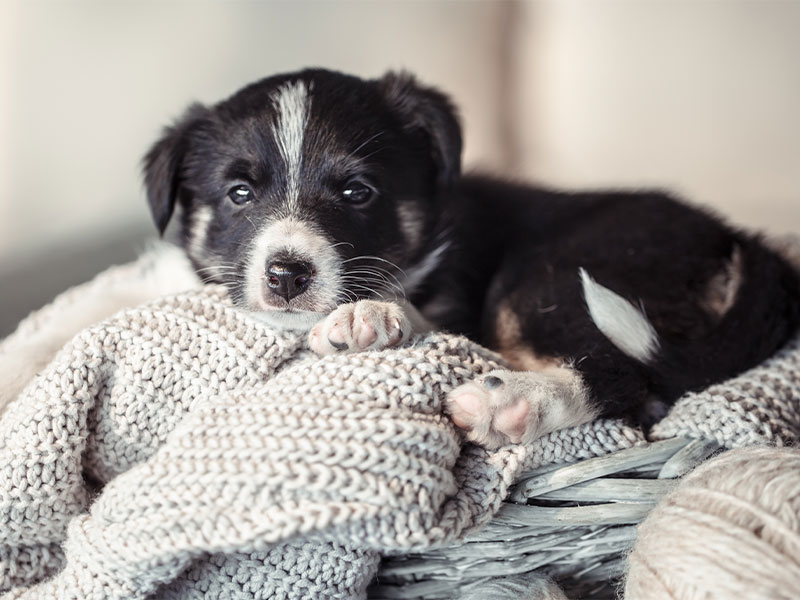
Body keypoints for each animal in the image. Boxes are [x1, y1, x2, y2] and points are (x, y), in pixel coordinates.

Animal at [144, 68, 800, 448]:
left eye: (357, 192)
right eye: (239, 193)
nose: (286, 275)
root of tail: (736, 237)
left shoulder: (461, 295)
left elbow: (429, 316)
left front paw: (367, 316)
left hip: (551, 273)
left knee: (623, 376)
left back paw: (509, 402)